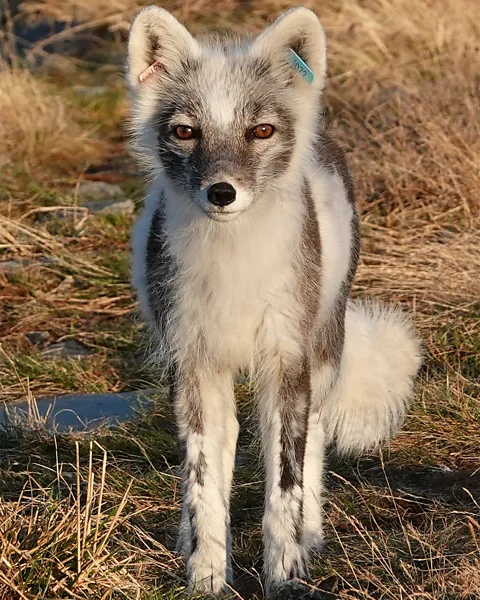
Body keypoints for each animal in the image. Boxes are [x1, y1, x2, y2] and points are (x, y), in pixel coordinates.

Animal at [126, 7, 420, 596]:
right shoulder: (192, 362)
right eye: (185, 131)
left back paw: (310, 535)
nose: (221, 193)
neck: (231, 258)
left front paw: (285, 573)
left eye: (260, 130)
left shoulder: (287, 362)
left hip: (321, 350)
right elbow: (202, 481)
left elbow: (285, 482)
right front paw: (206, 575)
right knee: (226, 443)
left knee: (311, 441)